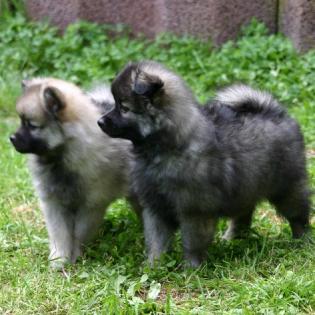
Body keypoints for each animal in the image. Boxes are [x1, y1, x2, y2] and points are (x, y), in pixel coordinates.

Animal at [10, 78, 134, 270]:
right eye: (21, 121)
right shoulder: (53, 203)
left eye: (32, 125)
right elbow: (59, 233)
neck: (62, 157)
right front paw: (59, 259)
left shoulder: (91, 205)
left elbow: (78, 234)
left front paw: (74, 256)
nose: (12, 138)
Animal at [98, 60, 312, 268]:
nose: (100, 121)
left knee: (298, 214)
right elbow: (156, 240)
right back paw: (232, 238)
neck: (167, 147)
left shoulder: (194, 210)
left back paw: (302, 240)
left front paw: (191, 268)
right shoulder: (155, 207)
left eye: (124, 108)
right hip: (246, 187)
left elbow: (192, 242)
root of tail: (276, 112)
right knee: (244, 214)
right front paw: (153, 266)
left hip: (287, 188)